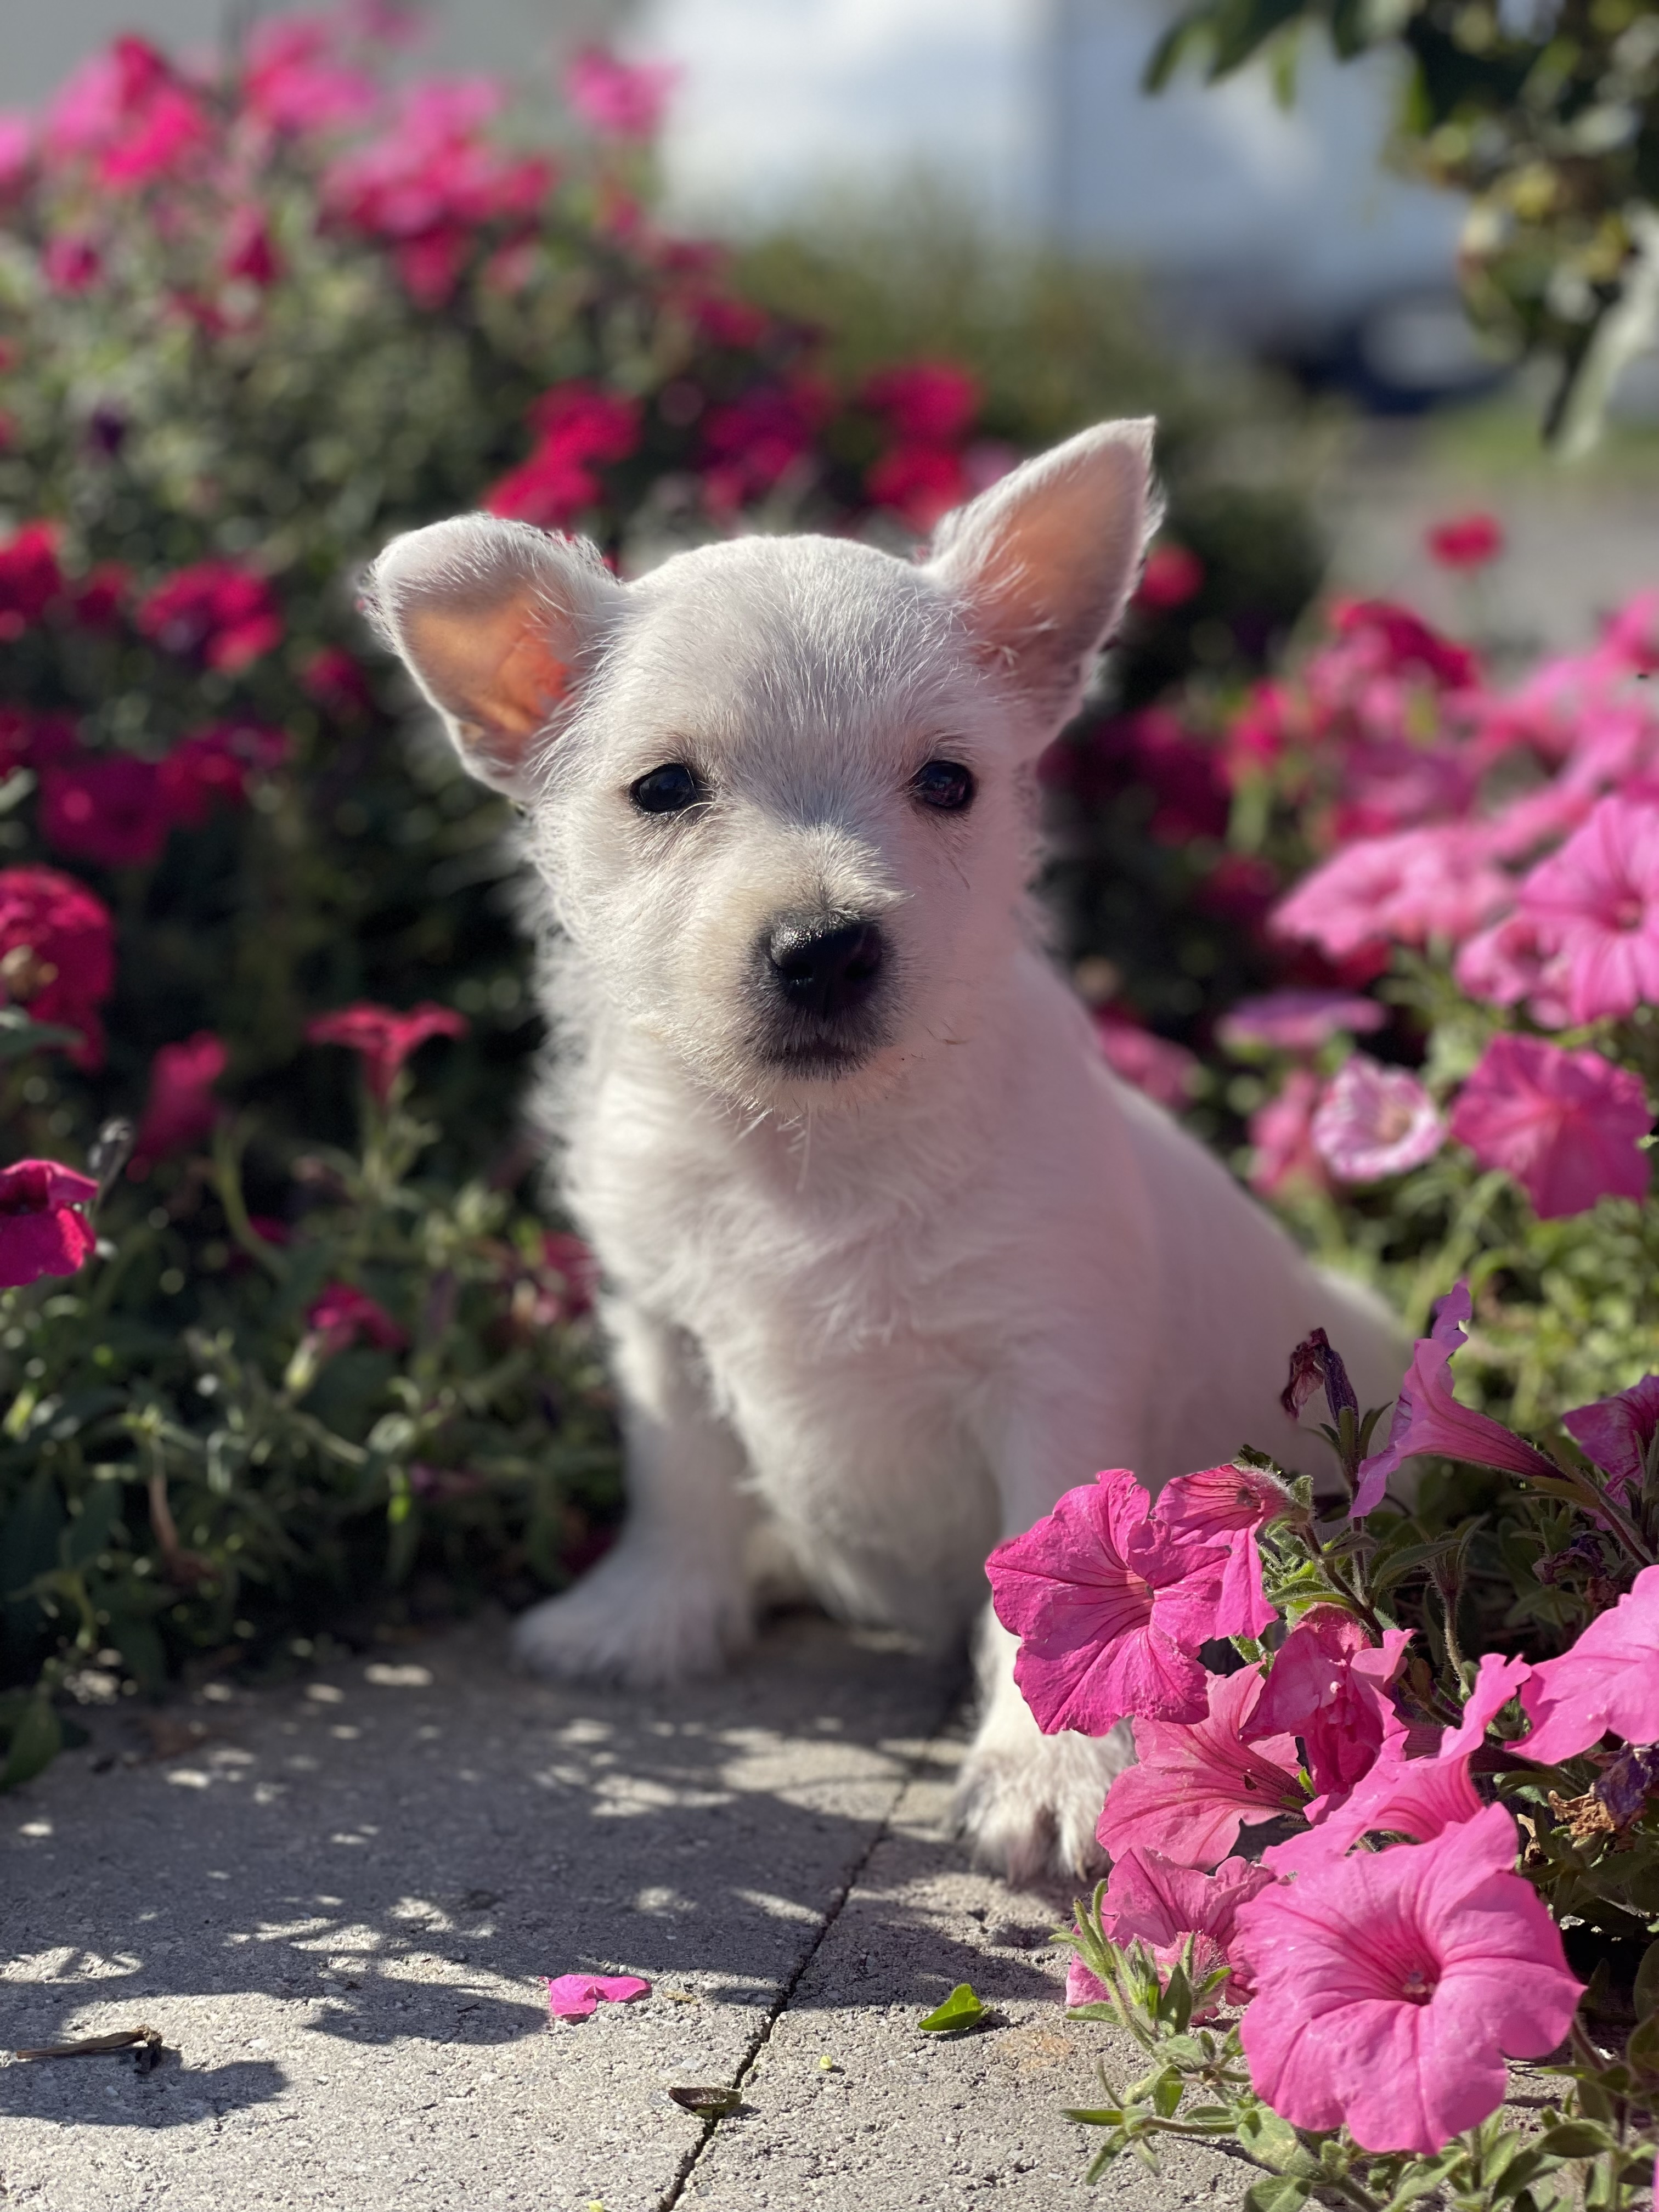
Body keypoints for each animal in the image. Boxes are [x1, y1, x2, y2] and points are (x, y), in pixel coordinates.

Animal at [369, 422, 1407, 1876]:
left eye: (948, 783)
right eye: (664, 788)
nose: (825, 949)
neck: (815, 1157)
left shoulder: (1049, 1376)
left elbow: (1054, 1599)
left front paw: (1048, 1774)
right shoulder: (661, 1328)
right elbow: (676, 1478)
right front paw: (643, 1616)